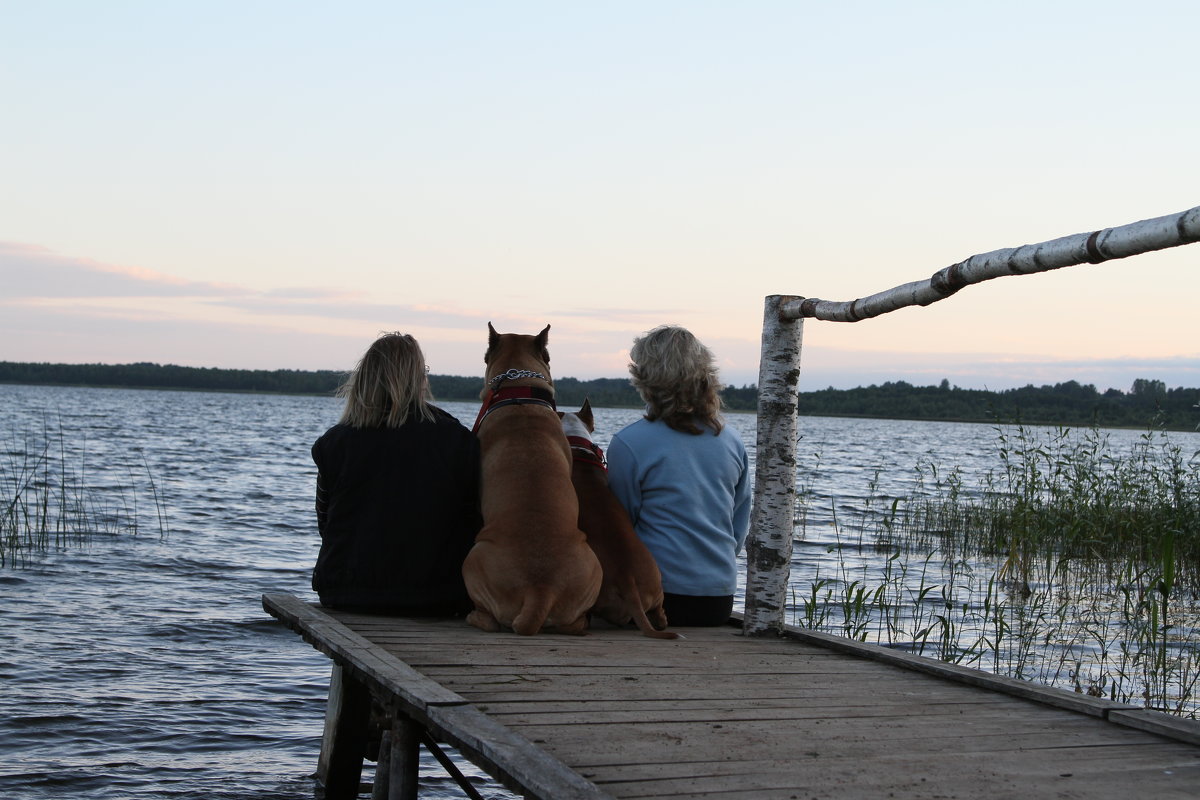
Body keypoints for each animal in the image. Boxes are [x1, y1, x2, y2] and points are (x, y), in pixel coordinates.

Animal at [463, 321, 604, 633]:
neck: (518, 391)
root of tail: (541, 590)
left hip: (473, 558)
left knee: (489, 620)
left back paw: (473, 616)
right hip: (593, 568)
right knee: (575, 623)